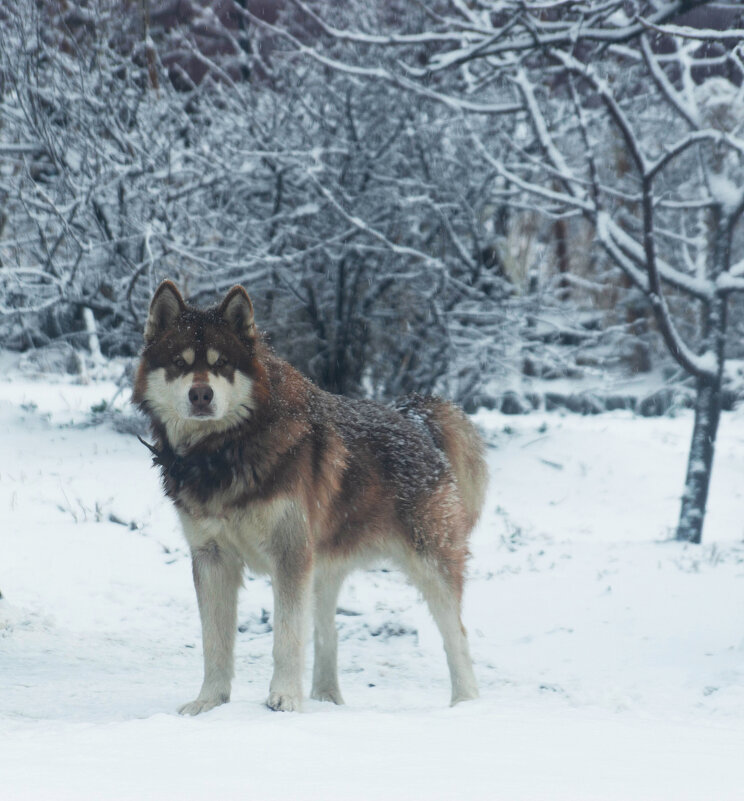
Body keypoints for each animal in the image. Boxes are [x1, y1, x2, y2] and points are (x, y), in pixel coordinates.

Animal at [132, 282, 488, 712]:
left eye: (223, 364)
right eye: (179, 363)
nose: (201, 395)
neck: (225, 450)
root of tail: (414, 420)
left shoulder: (289, 554)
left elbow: (286, 637)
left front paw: (284, 698)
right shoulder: (212, 558)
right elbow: (214, 644)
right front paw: (209, 703)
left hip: (429, 567)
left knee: (457, 638)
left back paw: (465, 704)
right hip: (322, 571)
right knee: (327, 635)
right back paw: (325, 699)